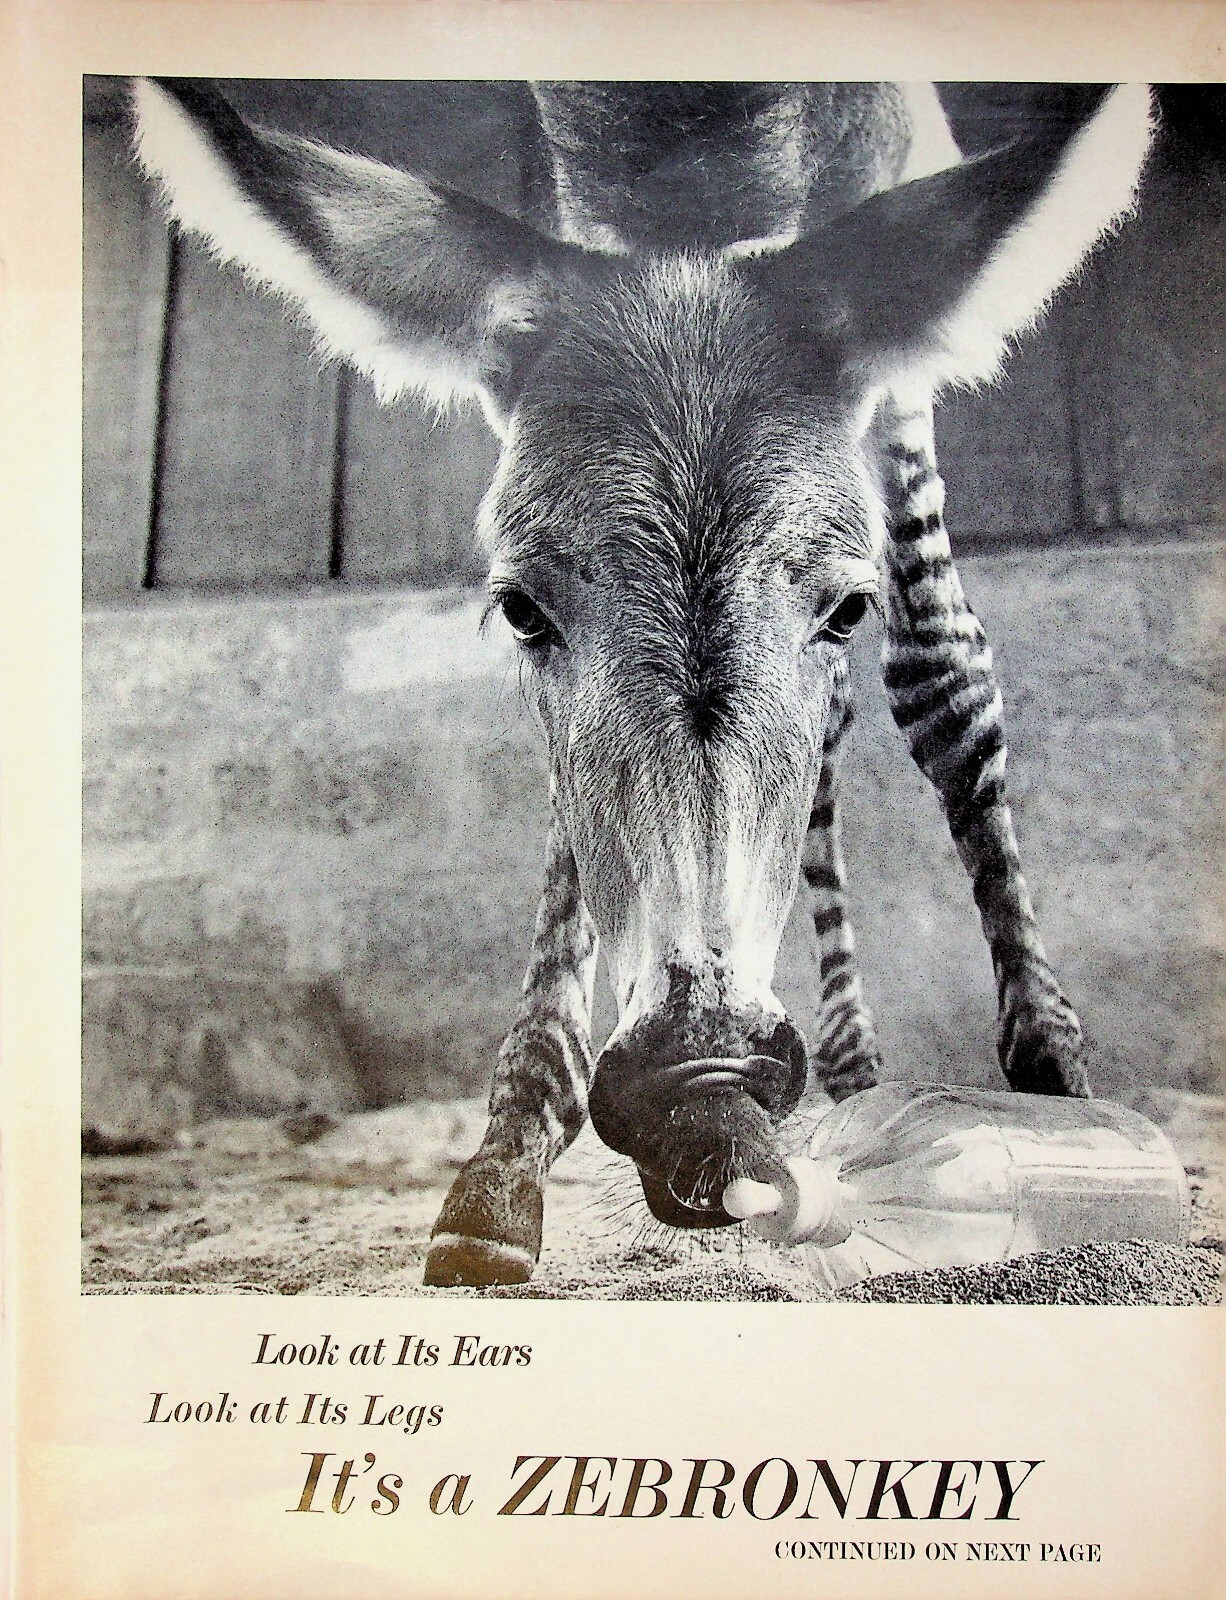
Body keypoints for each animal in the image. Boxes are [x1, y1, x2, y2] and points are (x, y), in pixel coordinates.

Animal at [131, 78, 1153, 1285]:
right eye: (519, 608)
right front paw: (509, 1152)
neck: (698, 129)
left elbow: (944, 677)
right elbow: (575, 818)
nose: (698, 1079)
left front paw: (1055, 1079)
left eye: (846, 606)